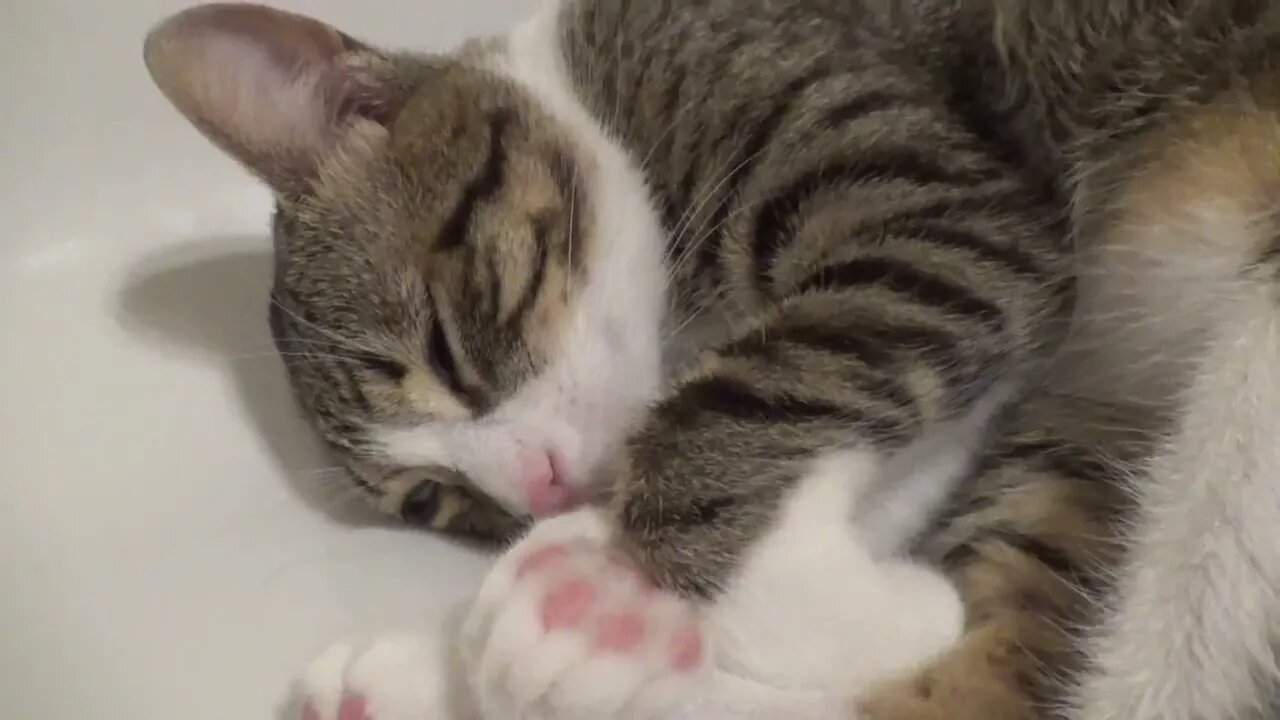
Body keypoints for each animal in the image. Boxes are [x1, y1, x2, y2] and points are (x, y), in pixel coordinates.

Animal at [140, 1, 1280, 717]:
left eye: (449, 345)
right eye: (434, 502)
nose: (539, 492)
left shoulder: (951, 212)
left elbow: (728, 413)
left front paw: (612, 585)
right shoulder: (991, 361)